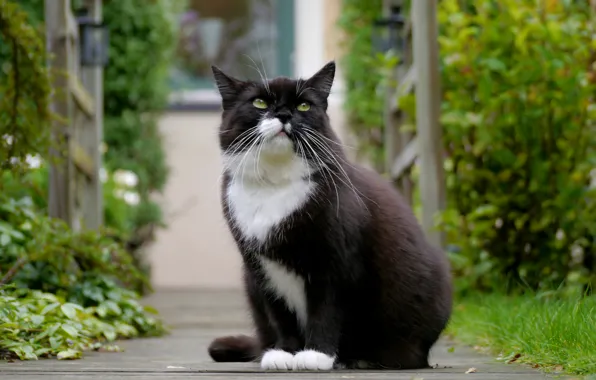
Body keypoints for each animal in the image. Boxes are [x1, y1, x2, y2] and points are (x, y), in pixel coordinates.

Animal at [206, 60, 452, 372]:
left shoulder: (336, 261)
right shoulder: (260, 267)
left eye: (304, 105)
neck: (274, 184)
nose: (284, 114)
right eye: (259, 102)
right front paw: (283, 353)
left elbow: (326, 309)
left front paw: (316, 355)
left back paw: (361, 359)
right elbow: (279, 312)